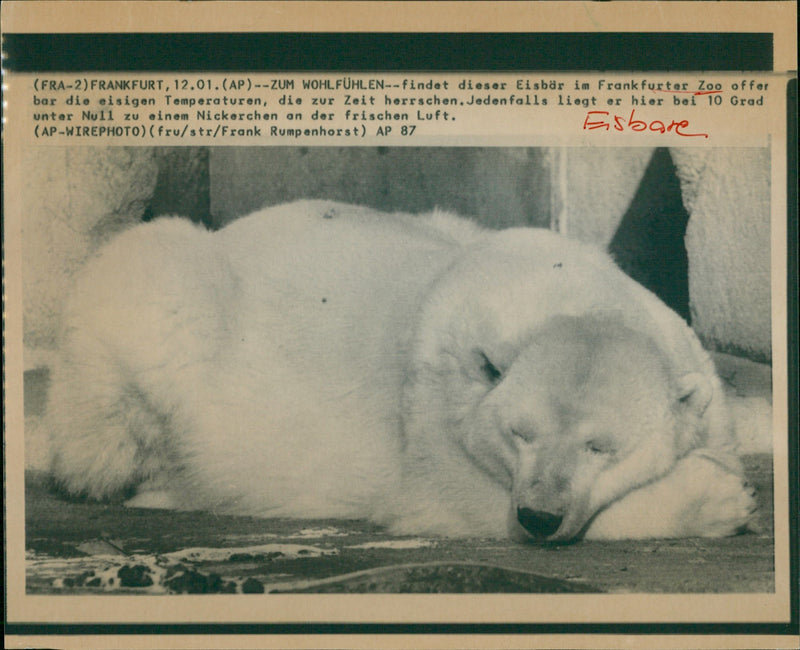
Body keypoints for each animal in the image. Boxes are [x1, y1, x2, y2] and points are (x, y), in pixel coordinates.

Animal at [43, 200, 756, 540]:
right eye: (519, 433)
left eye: (600, 447)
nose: (540, 516)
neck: (562, 294)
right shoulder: (433, 404)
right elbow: (459, 503)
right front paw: (721, 499)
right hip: (156, 311)